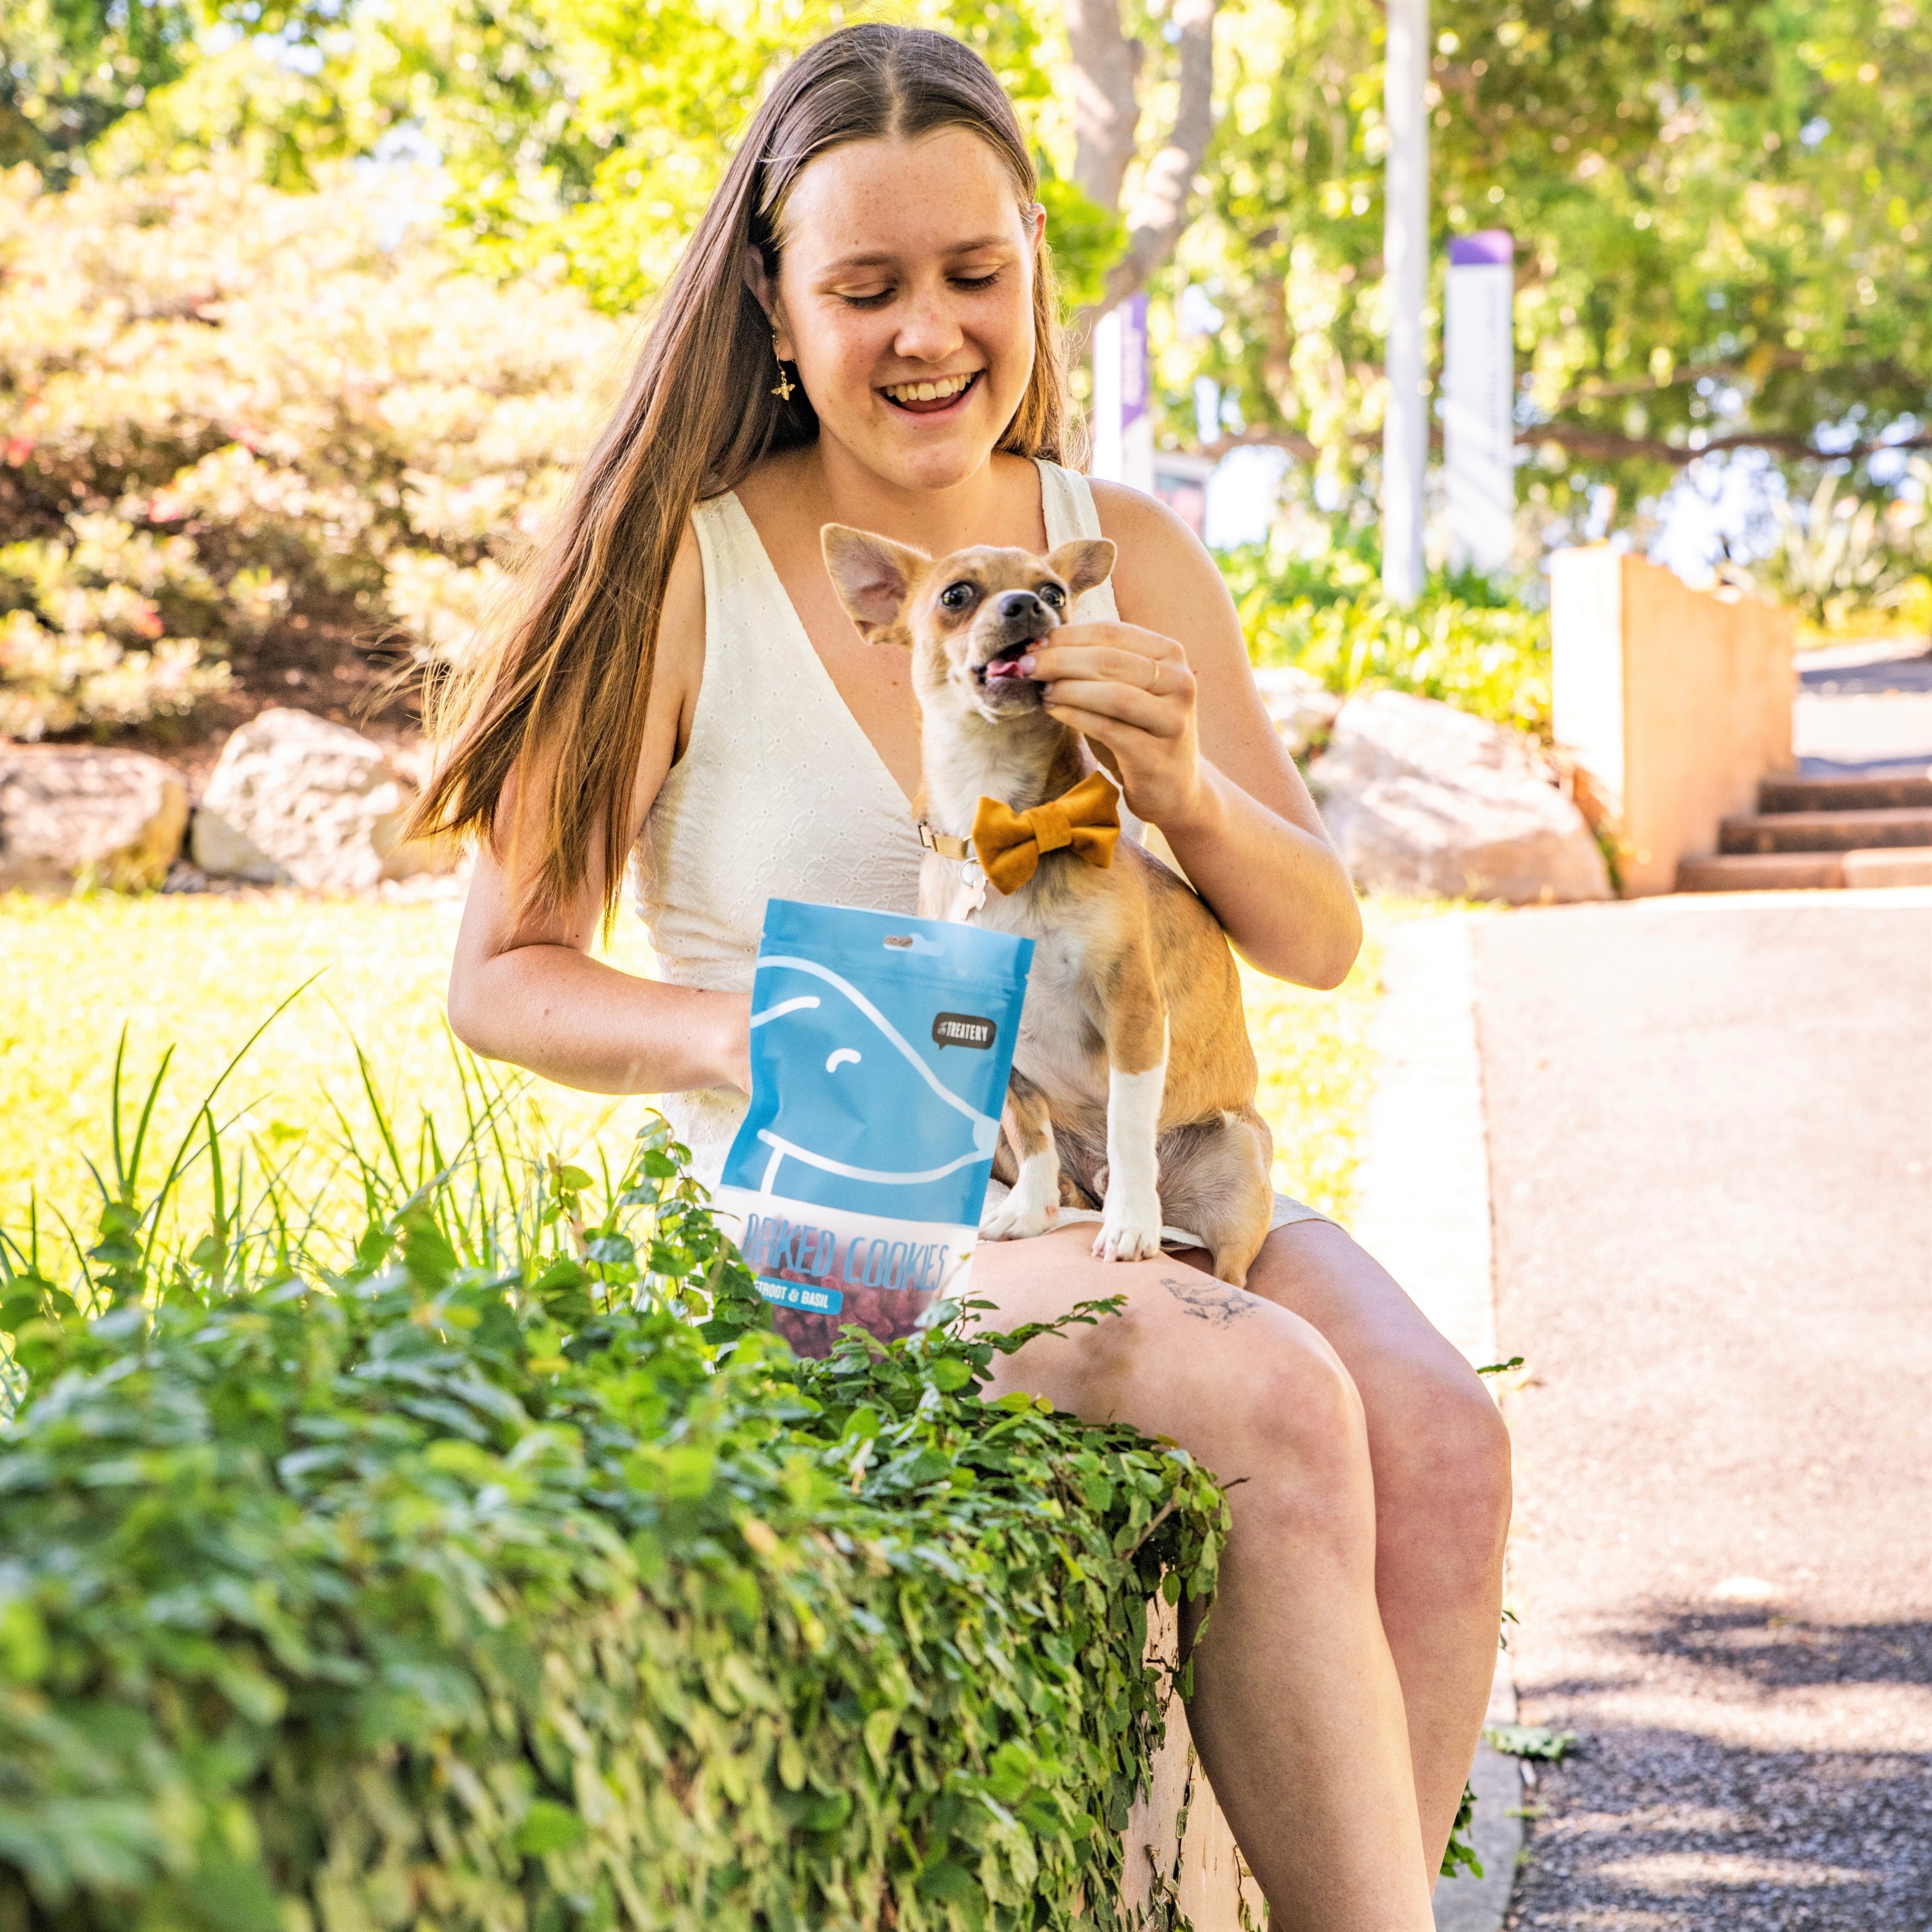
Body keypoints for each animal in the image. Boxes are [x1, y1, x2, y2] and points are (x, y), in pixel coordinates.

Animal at [819, 521, 1283, 1290]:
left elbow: (1128, 1127)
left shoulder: (1132, 1010)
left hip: (1238, 1164)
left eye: (1054, 593)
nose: (1024, 606)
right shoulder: (994, 1038)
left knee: (1227, 1263)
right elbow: (1029, 1130)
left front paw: (1130, 1224)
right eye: (955, 595)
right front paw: (1029, 1212)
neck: (1002, 827)